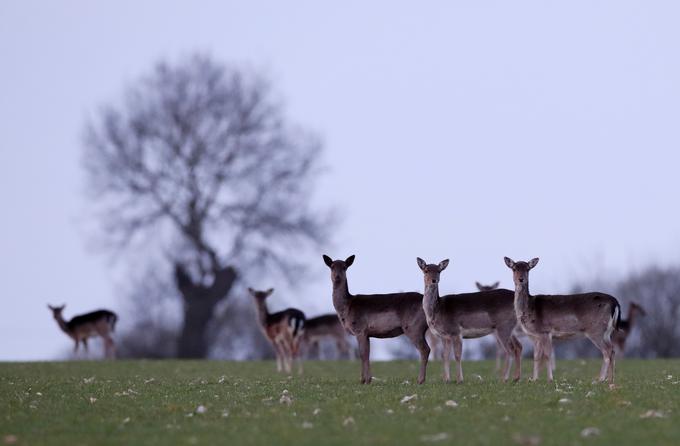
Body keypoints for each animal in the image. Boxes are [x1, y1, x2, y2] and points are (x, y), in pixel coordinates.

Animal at [322, 254, 428, 384]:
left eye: (344, 266)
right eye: (332, 266)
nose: (337, 277)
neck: (346, 308)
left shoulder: (360, 329)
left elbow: (362, 354)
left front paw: (364, 380)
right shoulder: (367, 333)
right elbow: (367, 354)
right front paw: (367, 379)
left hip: (413, 327)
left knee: (424, 349)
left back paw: (420, 380)